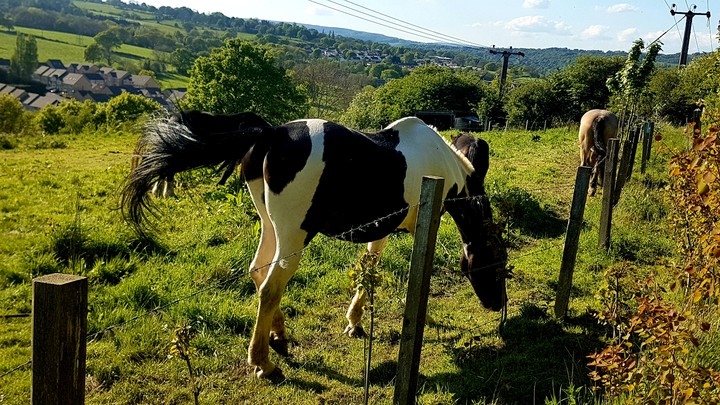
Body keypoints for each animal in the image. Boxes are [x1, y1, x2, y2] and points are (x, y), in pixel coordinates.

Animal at [121, 111, 508, 380]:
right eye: (497, 262)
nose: (498, 304)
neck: (442, 164)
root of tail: (272, 133)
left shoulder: (381, 228)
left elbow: (370, 267)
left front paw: (354, 322)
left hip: (271, 226)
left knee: (259, 271)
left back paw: (278, 339)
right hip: (294, 233)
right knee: (272, 285)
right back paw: (263, 363)